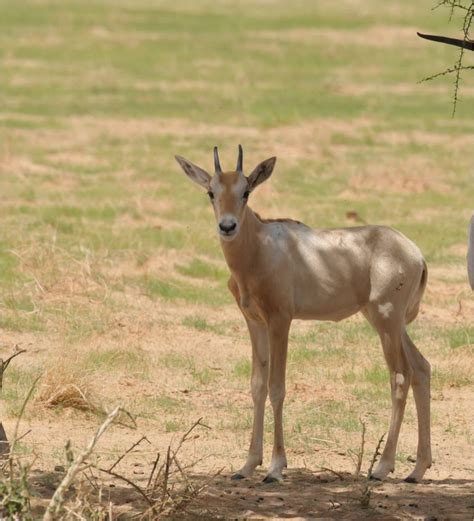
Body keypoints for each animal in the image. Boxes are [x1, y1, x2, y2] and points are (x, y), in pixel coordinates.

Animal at [175, 144, 434, 482]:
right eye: (211, 191)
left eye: (246, 191)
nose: (227, 226)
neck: (259, 247)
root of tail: (416, 254)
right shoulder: (254, 322)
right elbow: (257, 385)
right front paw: (247, 465)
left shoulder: (280, 320)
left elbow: (277, 387)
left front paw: (275, 468)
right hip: (391, 323)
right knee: (421, 368)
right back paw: (417, 469)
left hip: (386, 321)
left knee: (400, 376)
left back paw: (382, 467)